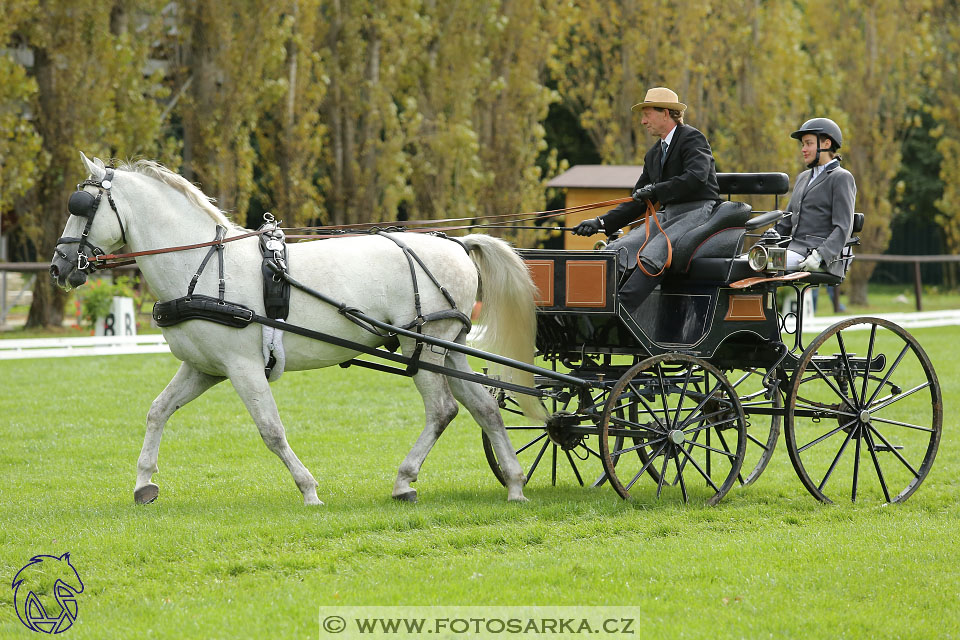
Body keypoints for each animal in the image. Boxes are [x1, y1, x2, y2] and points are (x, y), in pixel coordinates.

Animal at [50, 155, 540, 504]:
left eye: (82, 207)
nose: (58, 266)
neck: (202, 265)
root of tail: (457, 242)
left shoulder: (243, 367)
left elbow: (270, 429)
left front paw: (308, 489)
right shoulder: (204, 368)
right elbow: (157, 411)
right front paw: (144, 484)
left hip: (422, 347)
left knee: (442, 411)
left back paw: (405, 481)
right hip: (449, 347)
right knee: (485, 408)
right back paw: (515, 483)